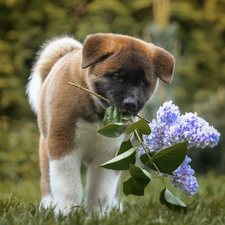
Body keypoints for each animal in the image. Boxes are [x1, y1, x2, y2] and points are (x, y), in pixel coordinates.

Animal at [25, 32, 174, 214]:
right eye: (116, 77)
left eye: (141, 82)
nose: (131, 103)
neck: (98, 112)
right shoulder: (63, 145)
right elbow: (68, 187)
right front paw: (67, 213)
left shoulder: (110, 154)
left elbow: (101, 191)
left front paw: (96, 215)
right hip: (46, 150)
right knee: (47, 181)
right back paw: (47, 205)